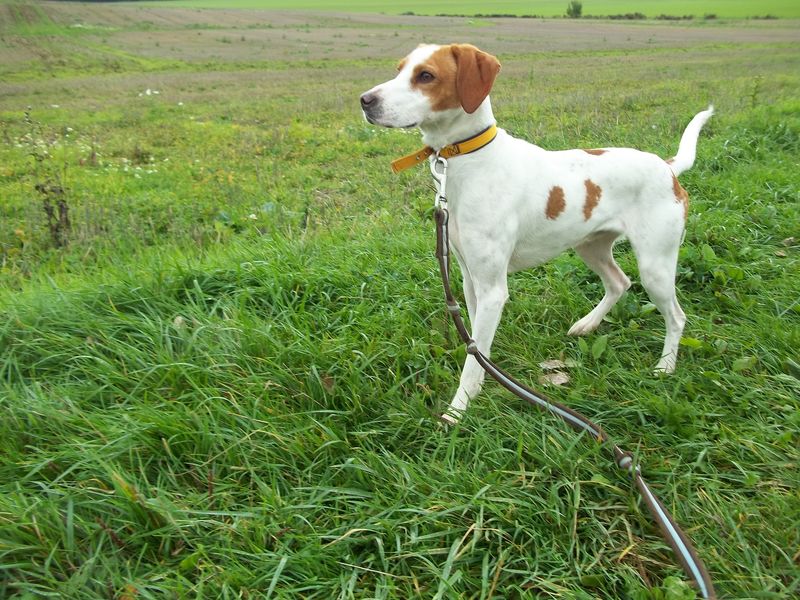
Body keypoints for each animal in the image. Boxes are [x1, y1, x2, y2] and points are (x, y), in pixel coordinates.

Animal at [360, 43, 712, 422]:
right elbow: (476, 346)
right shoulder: (470, 280)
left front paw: (458, 410)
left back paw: (665, 367)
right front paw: (483, 380)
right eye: (399, 69)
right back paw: (588, 325)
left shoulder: (493, 289)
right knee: (619, 282)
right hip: (591, 247)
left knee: (676, 316)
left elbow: (473, 355)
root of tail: (666, 166)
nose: (365, 100)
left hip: (655, 266)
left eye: (426, 75)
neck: (470, 161)